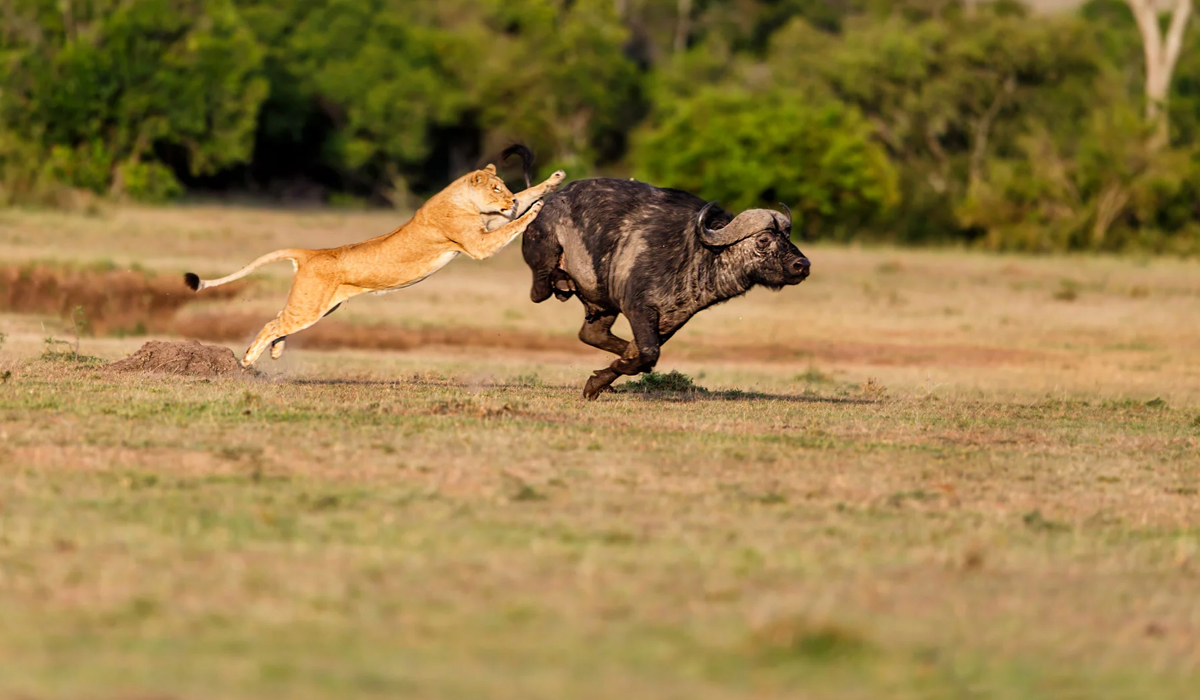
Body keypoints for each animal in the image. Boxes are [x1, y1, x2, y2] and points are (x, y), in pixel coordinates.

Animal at [520, 177, 811, 401]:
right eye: (763, 240)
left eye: (787, 237)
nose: (802, 265)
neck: (697, 252)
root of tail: (551, 201)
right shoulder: (638, 307)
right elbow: (648, 353)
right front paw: (615, 369)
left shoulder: (671, 319)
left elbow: (642, 354)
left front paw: (598, 382)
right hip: (544, 256)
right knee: (539, 292)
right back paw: (562, 281)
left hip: (604, 304)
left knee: (590, 334)